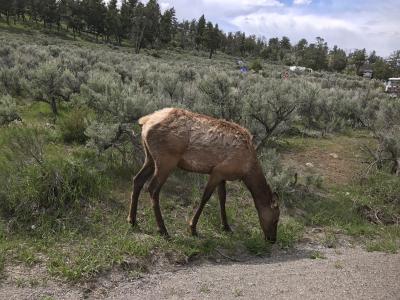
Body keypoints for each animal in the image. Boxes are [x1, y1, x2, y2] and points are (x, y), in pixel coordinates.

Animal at [128, 107, 282, 241]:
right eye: (276, 219)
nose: (272, 239)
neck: (247, 171)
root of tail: (145, 121)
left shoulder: (223, 175)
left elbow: (222, 198)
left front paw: (226, 227)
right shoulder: (217, 171)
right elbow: (205, 197)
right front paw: (192, 228)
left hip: (149, 157)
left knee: (137, 180)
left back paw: (132, 220)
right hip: (166, 160)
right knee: (153, 188)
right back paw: (163, 229)